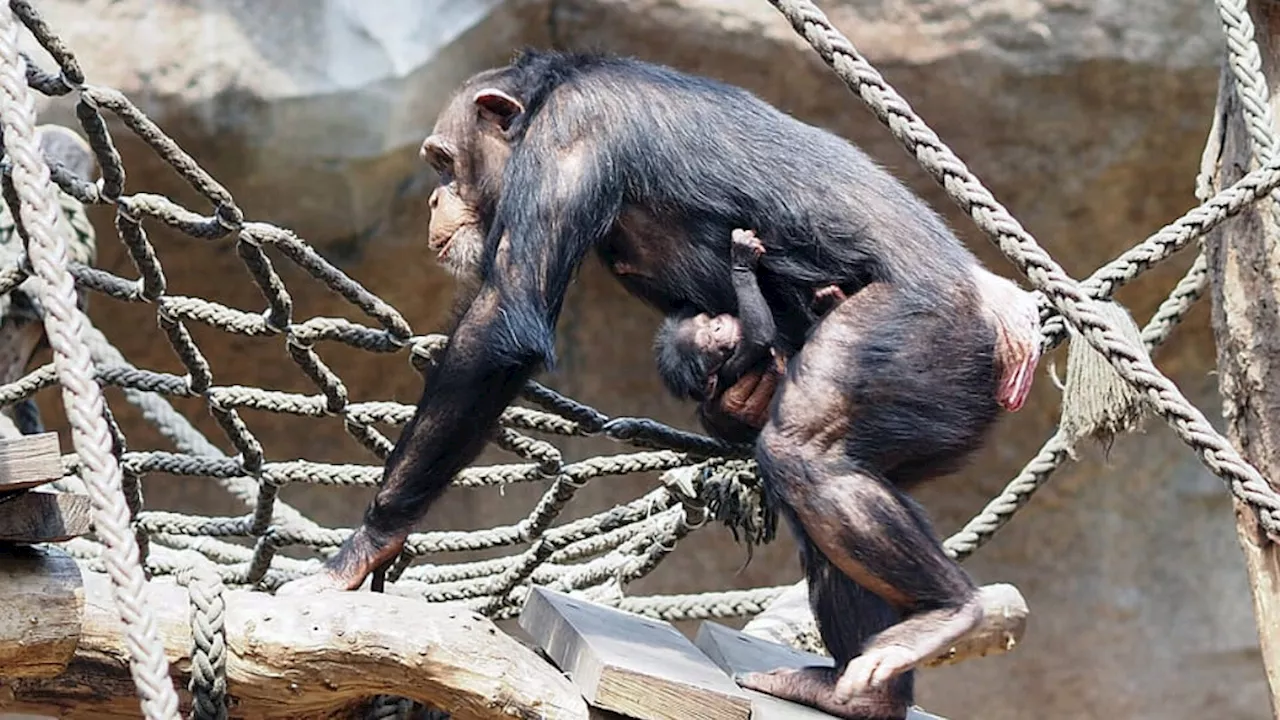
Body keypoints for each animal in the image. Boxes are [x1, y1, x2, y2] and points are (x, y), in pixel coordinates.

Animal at [280, 47, 1039, 712]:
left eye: (442, 162)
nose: (433, 202)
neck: (547, 99)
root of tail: (992, 331)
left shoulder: (573, 135)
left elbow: (502, 324)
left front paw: (363, 547)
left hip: (922, 336)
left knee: (805, 454)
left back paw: (947, 611)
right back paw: (859, 692)